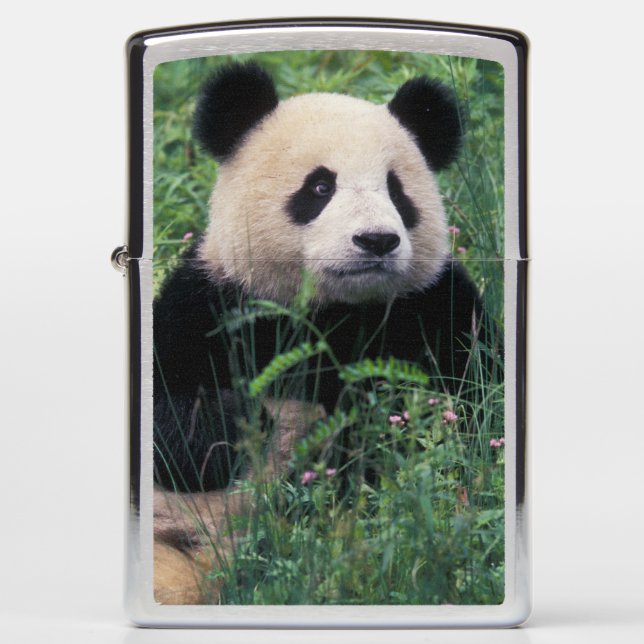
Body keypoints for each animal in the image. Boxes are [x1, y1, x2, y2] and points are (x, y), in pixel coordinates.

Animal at [153, 62, 497, 493]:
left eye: (396, 191)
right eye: (320, 187)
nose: (376, 240)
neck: (336, 309)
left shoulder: (437, 306)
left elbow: (482, 393)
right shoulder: (212, 304)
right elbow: (169, 413)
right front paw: (234, 425)